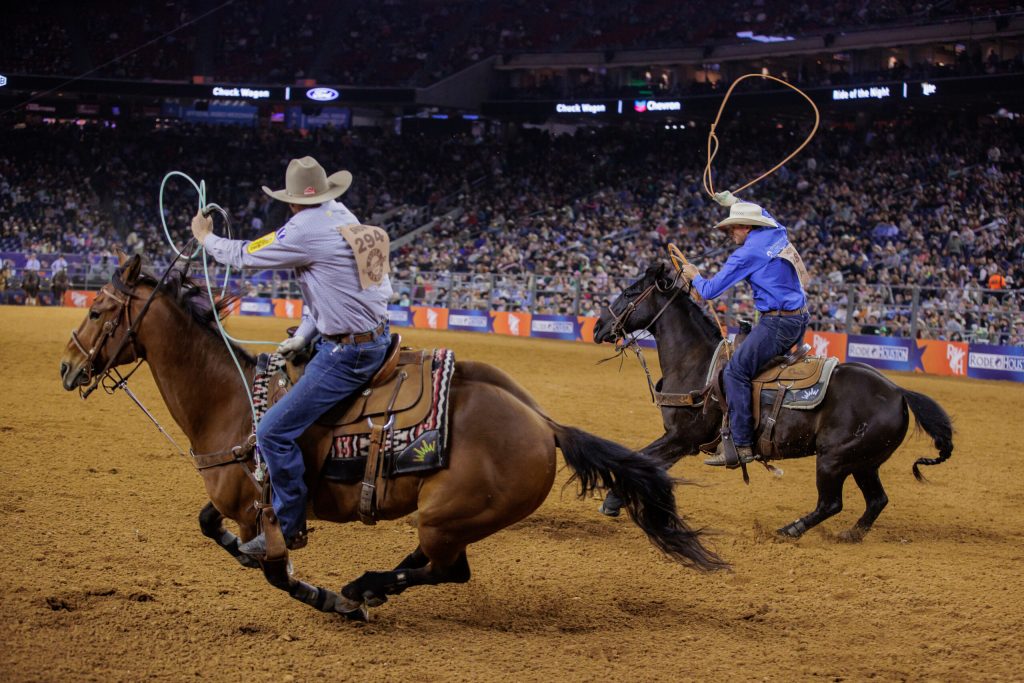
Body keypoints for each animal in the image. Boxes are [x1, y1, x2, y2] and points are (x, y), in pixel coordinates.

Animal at [59, 254, 724, 618]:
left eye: (96, 310)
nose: (66, 368)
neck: (232, 399)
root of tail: (545, 425)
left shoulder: (262, 507)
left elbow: (274, 569)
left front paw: (325, 597)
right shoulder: (235, 497)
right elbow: (209, 525)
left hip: (447, 514)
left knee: (447, 570)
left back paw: (361, 588)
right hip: (451, 519)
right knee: (433, 564)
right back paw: (368, 589)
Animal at [589, 264, 954, 540]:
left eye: (629, 292)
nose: (597, 327)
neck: (696, 363)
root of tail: (898, 392)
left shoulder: (682, 438)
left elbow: (642, 459)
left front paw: (612, 501)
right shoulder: (681, 442)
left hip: (834, 458)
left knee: (832, 503)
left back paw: (791, 529)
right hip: (864, 462)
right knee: (877, 500)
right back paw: (850, 535)